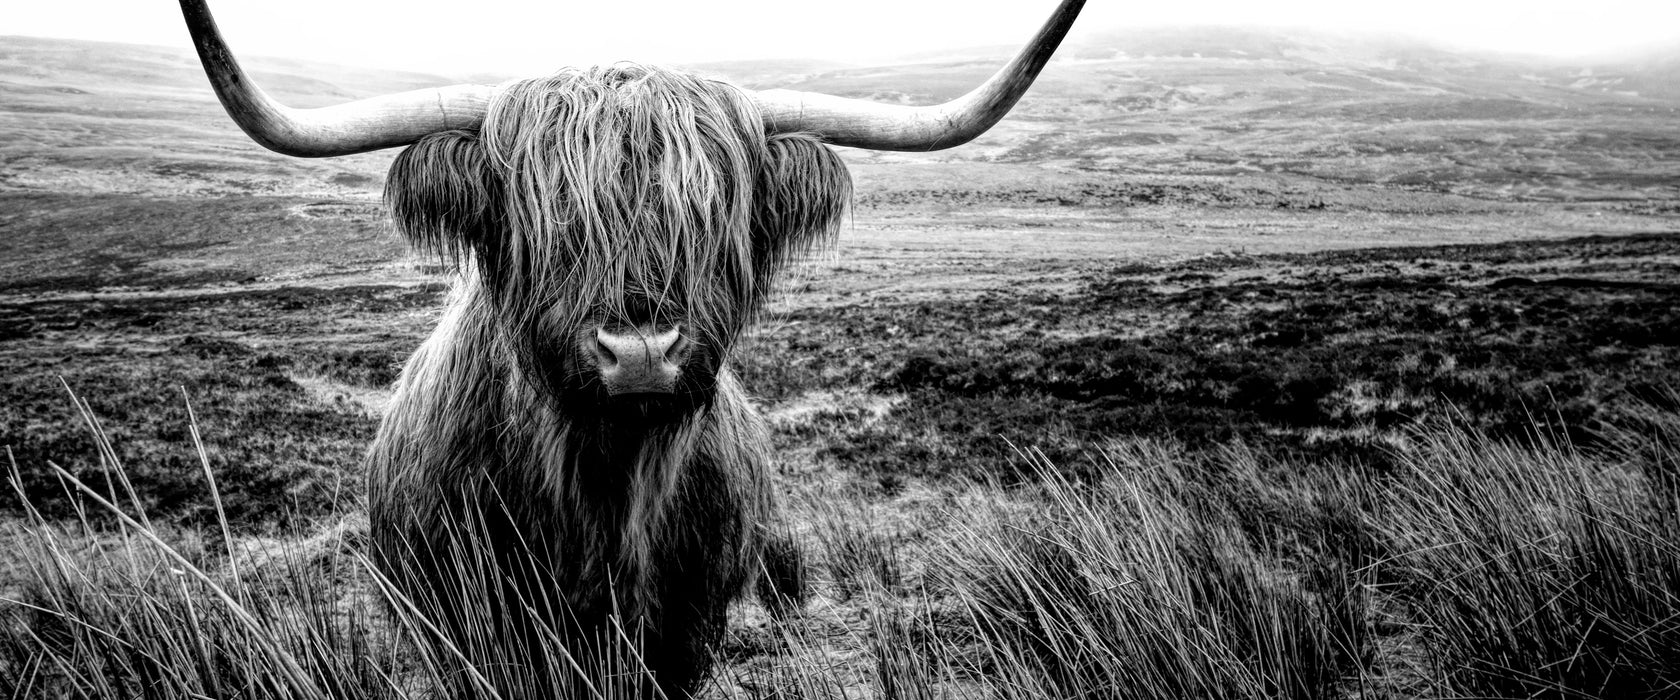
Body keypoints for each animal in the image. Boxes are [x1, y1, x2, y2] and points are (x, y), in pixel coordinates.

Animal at [173, 0, 1088, 691]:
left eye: (711, 214)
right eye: (545, 218)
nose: (641, 349)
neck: (604, 491)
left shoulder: (686, 625)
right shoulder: (476, 630)